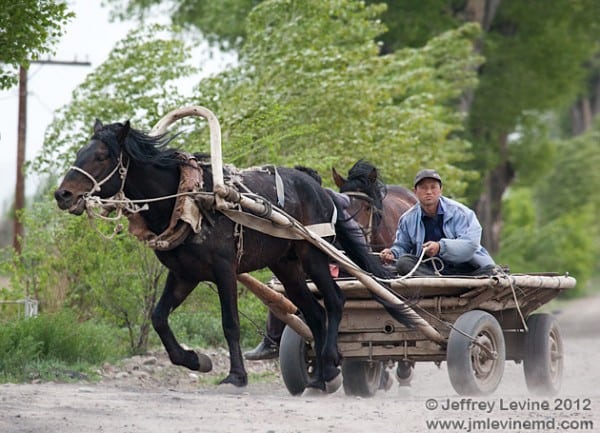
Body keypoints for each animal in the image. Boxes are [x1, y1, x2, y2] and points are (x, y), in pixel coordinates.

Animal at [55, 120, 418, 394]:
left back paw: (329, 367)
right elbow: (158, 318)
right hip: (286, 265)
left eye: (102, 156)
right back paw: (317, 377)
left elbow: (230, 323)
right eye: (80, 153)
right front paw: (195, 360)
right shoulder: (184, 274)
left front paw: (235, 376)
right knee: (314, 313)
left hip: (314, 255)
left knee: (335, 301)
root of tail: (324, 192)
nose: (63, 195)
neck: (189, 198)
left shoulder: (224, 269)